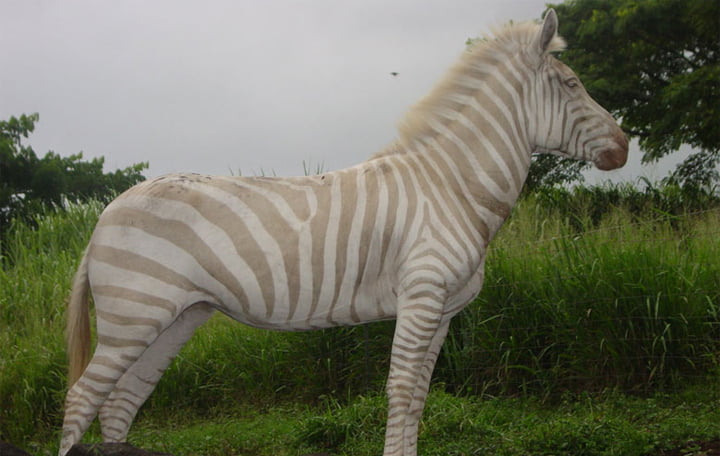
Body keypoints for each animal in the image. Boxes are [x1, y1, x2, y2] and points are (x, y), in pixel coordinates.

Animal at [59, 9, 627, 456]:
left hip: (175, 316)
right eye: (572, 84)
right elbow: (401, 391)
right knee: (82, 398)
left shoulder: (444, 309)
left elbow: (419, 396)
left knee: (121, 401)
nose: (624, 148)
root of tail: (107, 211)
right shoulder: (422, 296)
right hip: (135, 312)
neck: (451, 188)